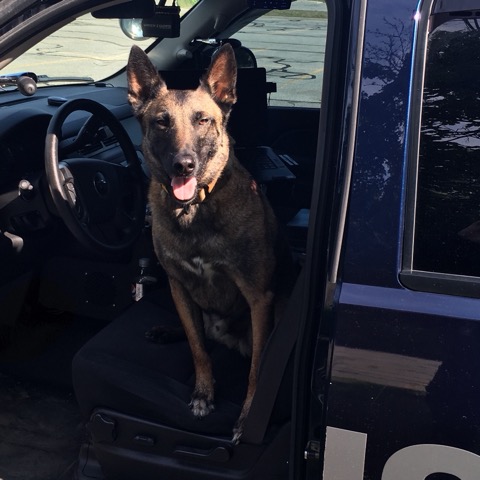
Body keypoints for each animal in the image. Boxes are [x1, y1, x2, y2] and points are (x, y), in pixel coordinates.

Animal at [127, 43, 290, 440]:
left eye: (203, 120)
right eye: (162, 122)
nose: (183, 166)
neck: (195, 208)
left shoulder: (259, 299)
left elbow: (258, 369)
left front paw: (247, 418)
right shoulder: (179, 286)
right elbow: (198, 347)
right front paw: (203, 394)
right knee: (200, 332)